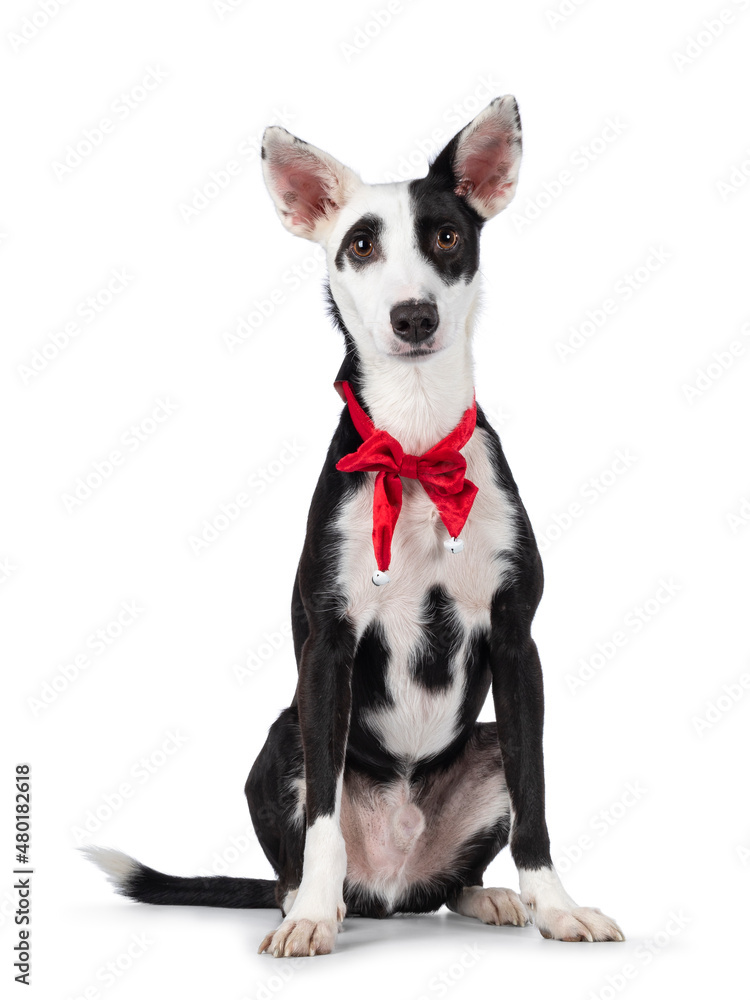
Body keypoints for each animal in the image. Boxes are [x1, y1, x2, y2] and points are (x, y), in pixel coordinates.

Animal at [85, 97, 624, 956]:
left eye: (447, 236)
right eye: (361, 245)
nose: (414, 317)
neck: (415, 447)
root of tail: (390, 888)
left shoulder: (517, 641)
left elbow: (537, 799)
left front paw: (558, 905)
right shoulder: (327, 646)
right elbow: (324, 818)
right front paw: (311, 916)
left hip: (484, 744)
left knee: (450, 883)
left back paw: (489, 897)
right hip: (281, 738)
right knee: (302, 859)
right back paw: (311, 902)